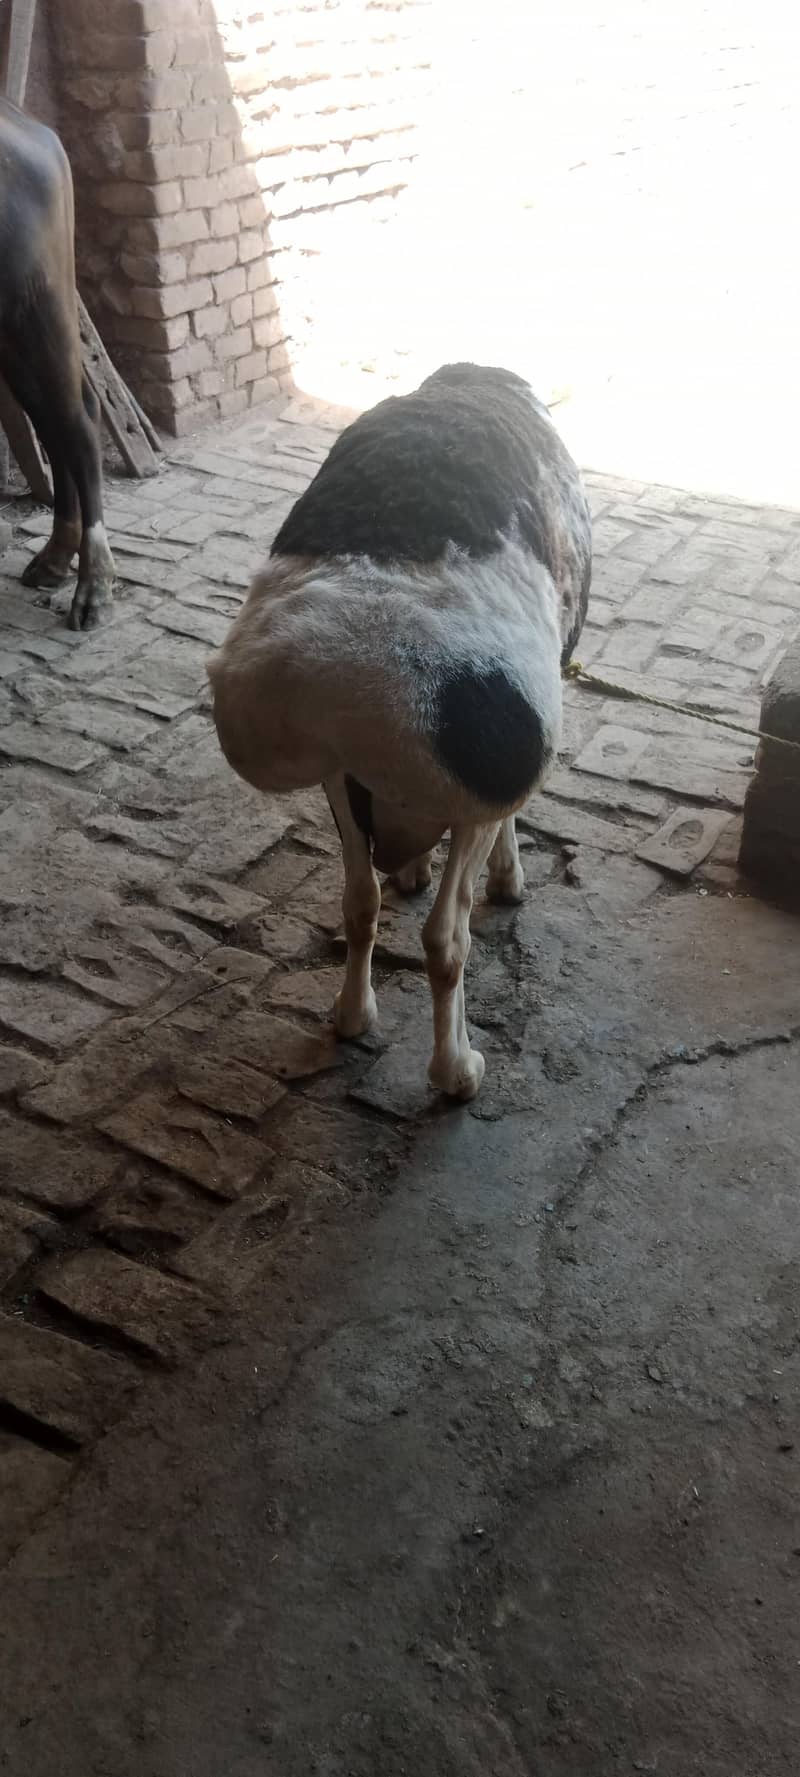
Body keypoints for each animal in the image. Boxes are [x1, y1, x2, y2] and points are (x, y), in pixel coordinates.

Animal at [208, 363, 591, 1101]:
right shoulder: (497, 782)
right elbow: (505, 829)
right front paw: (508, 878)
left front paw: (413, 869)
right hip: (470, 785)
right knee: (446, 940)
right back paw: (457, 1070)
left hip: (335, 770)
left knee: (360, 900)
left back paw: (352, 1014)